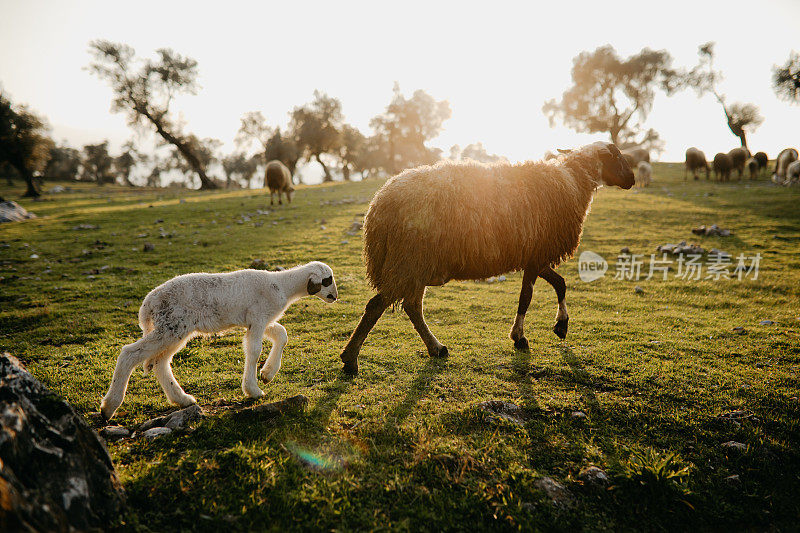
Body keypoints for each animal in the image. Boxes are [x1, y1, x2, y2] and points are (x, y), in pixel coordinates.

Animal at [101, 260, 338, 420]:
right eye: (327, 281)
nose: (335, 297)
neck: (282, 285)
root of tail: (147, 305)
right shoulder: (258, 316)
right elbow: (254, 350)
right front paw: (253, 390)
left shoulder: (257, 321)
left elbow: (281, 333)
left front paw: (268, 373)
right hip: (170, 327)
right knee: (130, 353)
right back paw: (109, 406)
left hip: (175, 330)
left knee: (161, 362)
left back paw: (182, 399)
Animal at [340, 141, 636, 374]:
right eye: (617, 156)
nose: (632, 180)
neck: (574, 181)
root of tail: (379, 206)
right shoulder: (535, 254)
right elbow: (528, 296)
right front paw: (522, 337)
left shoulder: (534, 255)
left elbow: (558, 284)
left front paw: (558, 326)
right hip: (408, 260)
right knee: (378, 305)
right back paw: (350, 360)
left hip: (414, 263)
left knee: (412, 307)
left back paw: (436, 348)